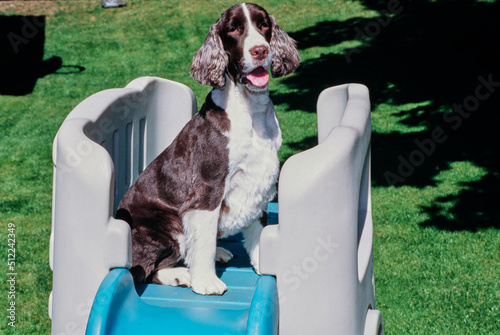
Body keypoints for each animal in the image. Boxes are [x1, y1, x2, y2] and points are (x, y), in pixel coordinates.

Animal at [115, 3, 298, 296]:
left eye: (264, 25)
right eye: (233, 28)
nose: (260, 50)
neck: (250, 111)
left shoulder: (260, 181)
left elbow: (258, 231)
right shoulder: (207, 190)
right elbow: (202, 244)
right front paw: (206, 282)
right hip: (164, 225)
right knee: (141, 270)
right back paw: (182, 275)